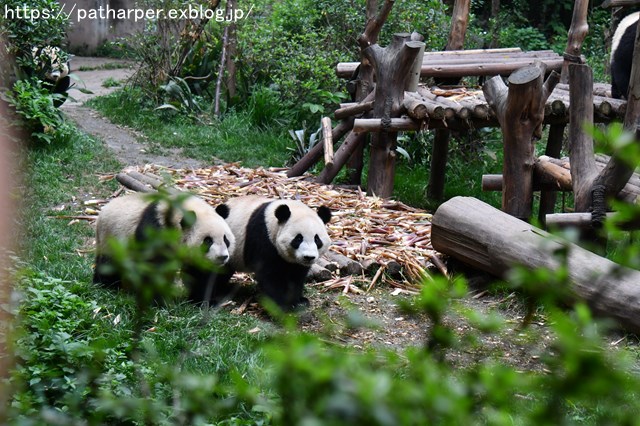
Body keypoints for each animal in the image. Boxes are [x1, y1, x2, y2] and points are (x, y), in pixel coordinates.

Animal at [92, 190, 235, 302]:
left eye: (225, 239)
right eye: (208, 241)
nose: (222, 257)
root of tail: (102, 213)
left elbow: (199, 273)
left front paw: (202, 301)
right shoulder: (156, 229)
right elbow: (154, 266)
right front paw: (159, 301)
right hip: (112, 236)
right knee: (109, 263)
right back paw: (107, 286)